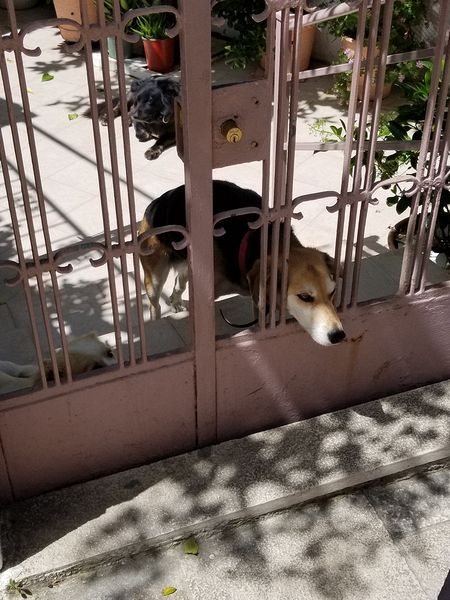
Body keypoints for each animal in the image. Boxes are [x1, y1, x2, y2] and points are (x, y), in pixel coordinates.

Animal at [139, 179, 346, 346]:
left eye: (333, 292)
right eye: (304, 297)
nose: (339, 336)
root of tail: (153, 205)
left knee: (178, 283)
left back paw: (175, 301)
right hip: (155, 279)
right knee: (155, 305)